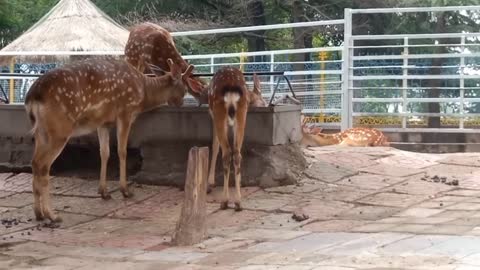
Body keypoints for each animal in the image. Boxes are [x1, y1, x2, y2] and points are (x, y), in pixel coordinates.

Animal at [24, 57, 195, 221]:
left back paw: (38, 213)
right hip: (60, 129)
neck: (144, 92)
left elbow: (104, 153)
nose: (180, 102)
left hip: (40, 132)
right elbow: (122, 151)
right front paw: (125, 190)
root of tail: (33, 96)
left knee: (34, 162)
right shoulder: (125, 112)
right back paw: (52, 215)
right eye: (184, 88)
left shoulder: (103, 123)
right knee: (43, 165)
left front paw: (104, 192)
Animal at [206, 68, 266, 211]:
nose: (267, 105)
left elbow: (215, 145)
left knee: (227, 152)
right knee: (237, 153)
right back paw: (238, 201)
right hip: (241, 113)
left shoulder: (213, 116)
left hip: (219, 112)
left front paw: (210, 183)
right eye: (264, 100)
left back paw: (225, 201)